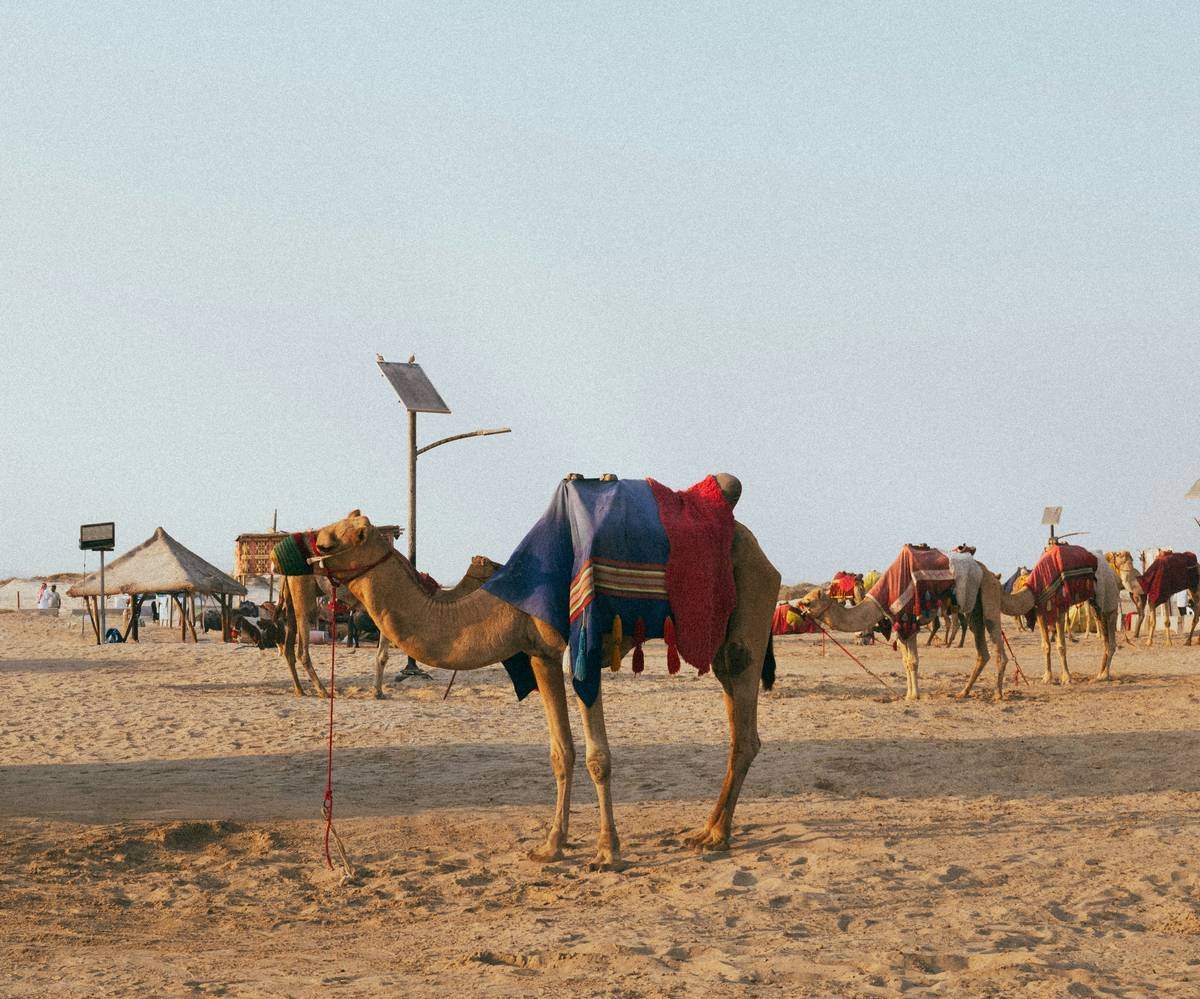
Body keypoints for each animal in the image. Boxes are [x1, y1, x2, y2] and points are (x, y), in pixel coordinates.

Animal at [274, 555, 499, 698]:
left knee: (288, 644)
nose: (503, 566)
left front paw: (378, 691)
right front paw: (379, 692)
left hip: (293, 597)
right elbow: (383, 656)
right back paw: (322, 691)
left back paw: (300, 690)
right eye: (490, 564)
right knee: (302, 645)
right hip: (304, 593)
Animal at [308, 484, 780, 869]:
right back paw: (707, 831)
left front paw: (607, 853)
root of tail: (765, 556)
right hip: (719, 644)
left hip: (749, 611)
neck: (501, 602)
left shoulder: (583, 651)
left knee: (745, 731)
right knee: (737, 722)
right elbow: (561, 752)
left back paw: (716, 837)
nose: (308, 553)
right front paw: (552, 845)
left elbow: (597, 757)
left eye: (333, 539)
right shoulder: (541, 655)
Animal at [799, 554, 1027, 701]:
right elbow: (906, 661)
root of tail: (990, 574)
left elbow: (914, 661)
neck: (879, 600)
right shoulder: (900, 627)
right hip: (973, 609)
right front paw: (908, 694)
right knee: (982, 650)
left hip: (988, 597)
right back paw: (963, 692)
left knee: (996, 640)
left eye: (808, 602)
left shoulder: (910, 622)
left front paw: (915, 695)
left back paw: (997, 694)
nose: (798, 608)